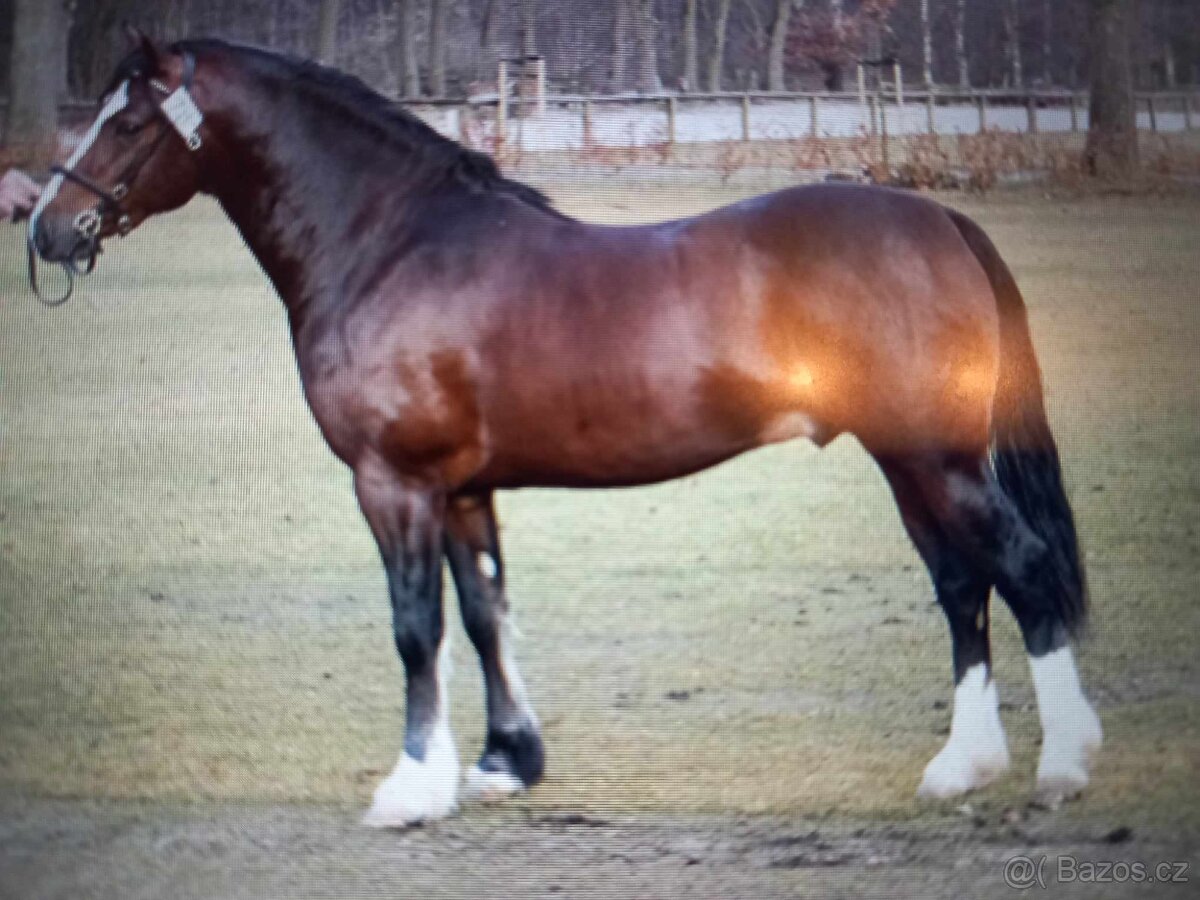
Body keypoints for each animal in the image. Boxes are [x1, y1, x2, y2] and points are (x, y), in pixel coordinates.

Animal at [28, 33, 1099, 825]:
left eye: (128, 119)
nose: (43, 226)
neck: (391, 245)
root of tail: (940, 222)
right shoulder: (462, 487)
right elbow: (483, 612)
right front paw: (505, 762)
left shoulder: (393, 482)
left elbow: (415, 627)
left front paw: (409, 789)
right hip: (911, 463)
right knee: (962, 587)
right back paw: (963, 767)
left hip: (936, 459)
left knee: (1022, 566)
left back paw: (1064, 766)